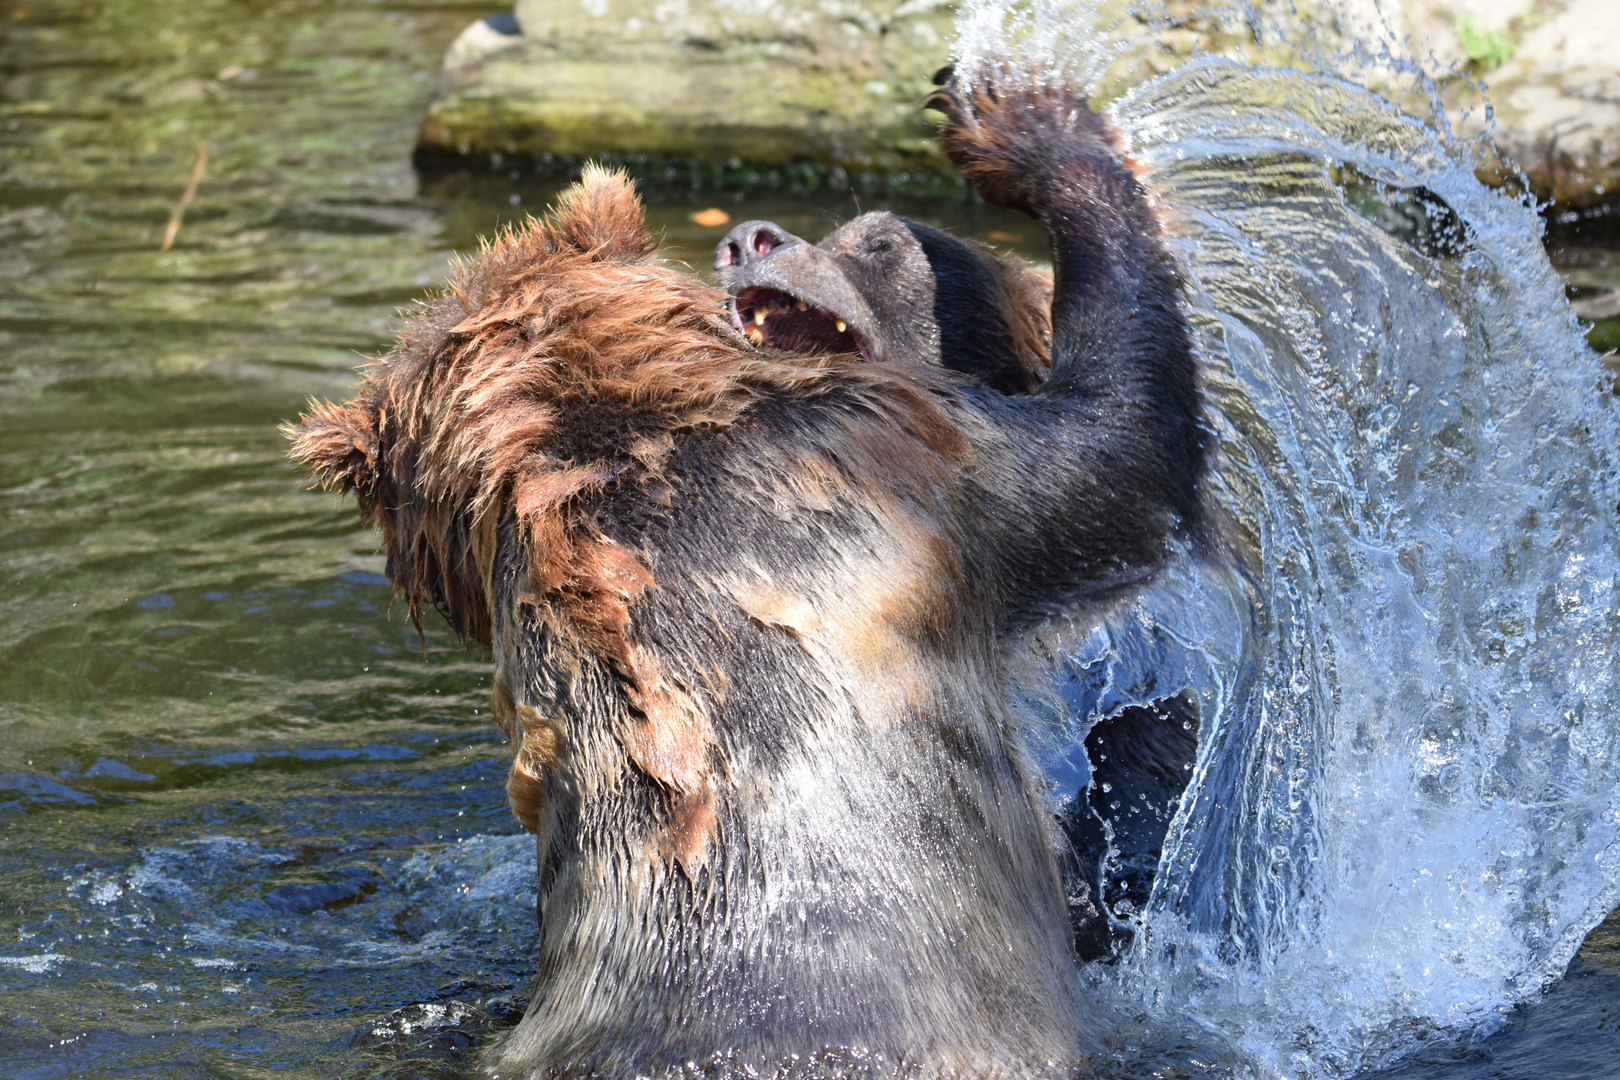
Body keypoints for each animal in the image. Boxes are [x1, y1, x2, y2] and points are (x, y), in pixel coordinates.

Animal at [288, 69, 1205, 1080]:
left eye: (874, 243)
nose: (752, 236)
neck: (616, 430)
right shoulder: (931, 468)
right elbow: (1125, 452)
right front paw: (1032, 123)